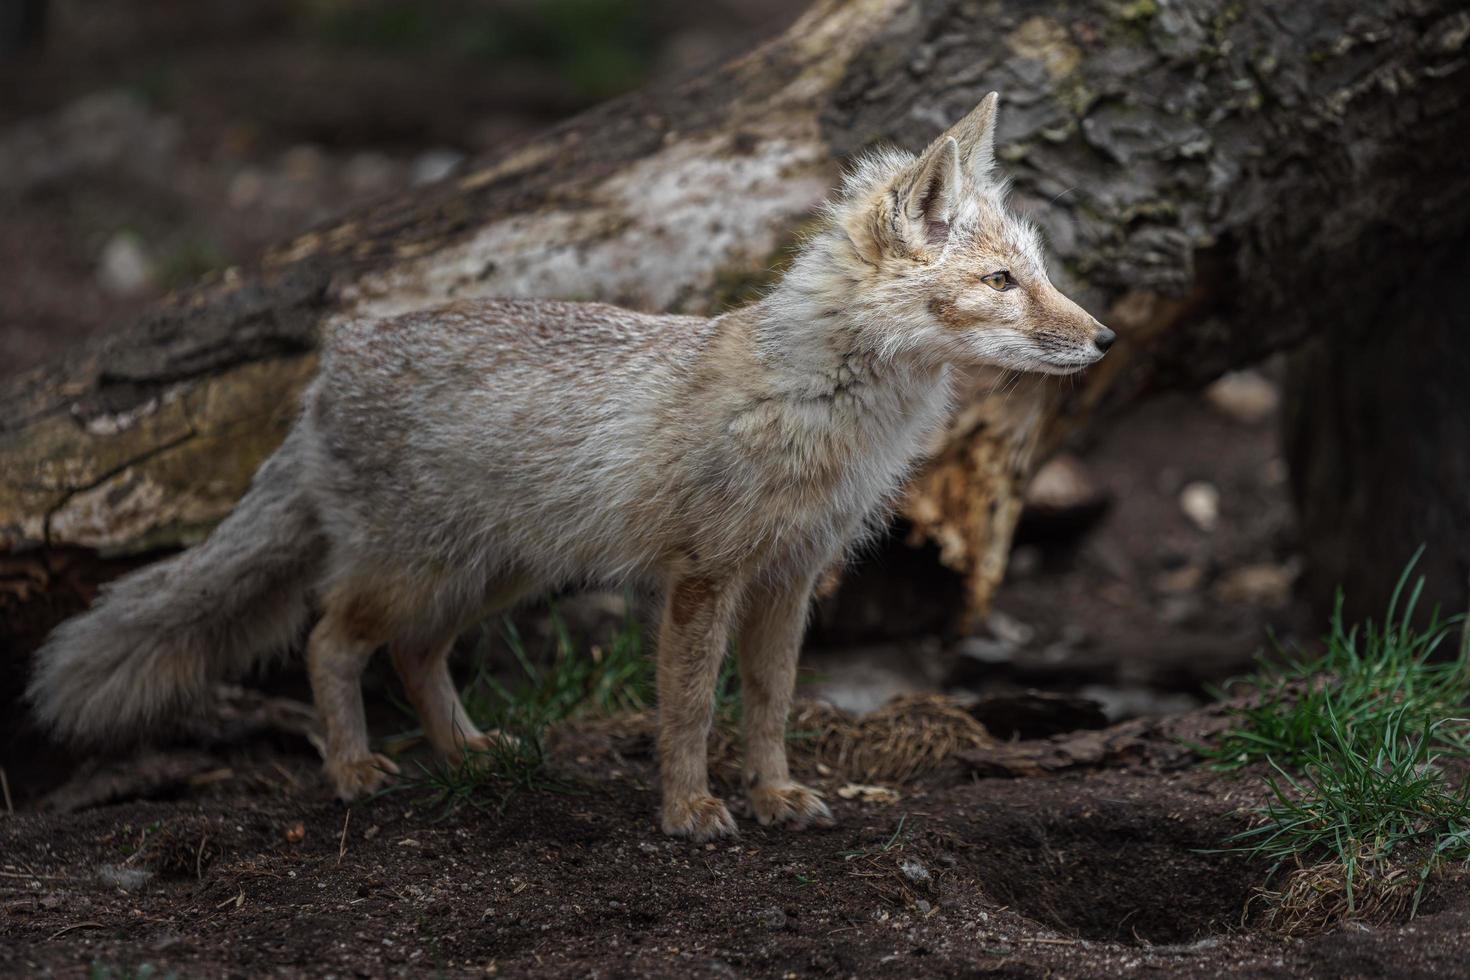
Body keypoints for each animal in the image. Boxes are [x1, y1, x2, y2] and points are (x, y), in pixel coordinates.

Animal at [25, 94, 1111, 846]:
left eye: (1040, 273)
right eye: (1001, 282)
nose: (1102, 339)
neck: (826, 408)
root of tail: (329, 369)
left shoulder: (791, 577)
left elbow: (768, 704)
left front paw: (772, 793)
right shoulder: (705, 576)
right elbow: (688, 707)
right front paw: (687, 810)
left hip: (495, 575)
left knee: (413, 655)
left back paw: (465, 751)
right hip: (420, 573)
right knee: (330, 639)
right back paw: (354, 768)